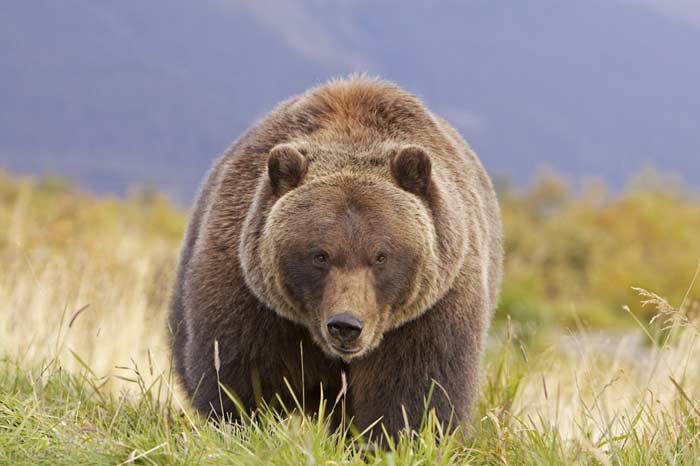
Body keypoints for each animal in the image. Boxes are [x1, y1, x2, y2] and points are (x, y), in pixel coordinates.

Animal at [168, 76, 503, 442]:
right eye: (320, 255)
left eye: (381, 255)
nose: (346, 325)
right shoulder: (253, 299)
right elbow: (237, 376)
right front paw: (241, 427)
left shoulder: (430, 311)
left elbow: (415, 393)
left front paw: (397, 437)